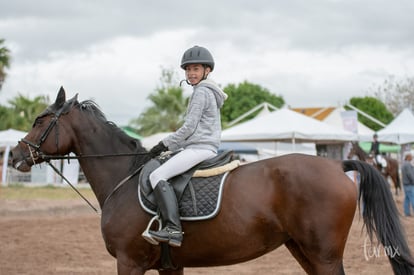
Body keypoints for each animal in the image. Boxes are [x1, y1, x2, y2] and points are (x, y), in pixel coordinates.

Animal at [9, 89, 414, 275]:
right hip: (303, 250)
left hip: (323, 254)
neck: (123, 176)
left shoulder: (129, 262)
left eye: (40, 120)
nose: (14, 155)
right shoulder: (170, 265)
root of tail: (335, 165)